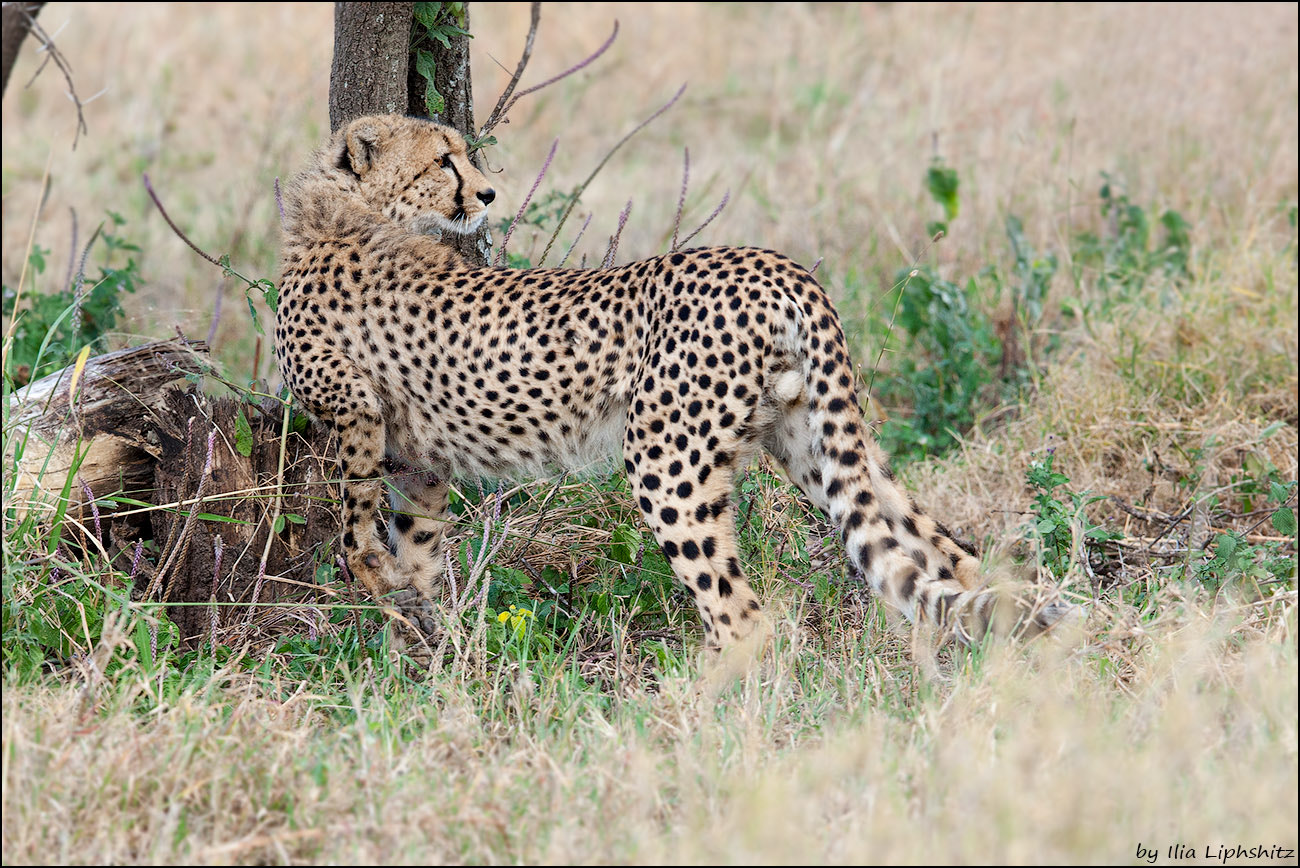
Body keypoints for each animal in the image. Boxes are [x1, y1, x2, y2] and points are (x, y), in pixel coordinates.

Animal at [276, 114, 1076, 657]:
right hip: (810, 441)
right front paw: (423, 646)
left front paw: (378, 589)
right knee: (945, 551)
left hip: (667, 463)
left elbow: (354, 521)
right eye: (444, 159)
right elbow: (414, 547)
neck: (347, 214)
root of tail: (775, 262)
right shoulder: (419, 460)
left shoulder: (354, 410)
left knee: (744, 616)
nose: (487, 192)